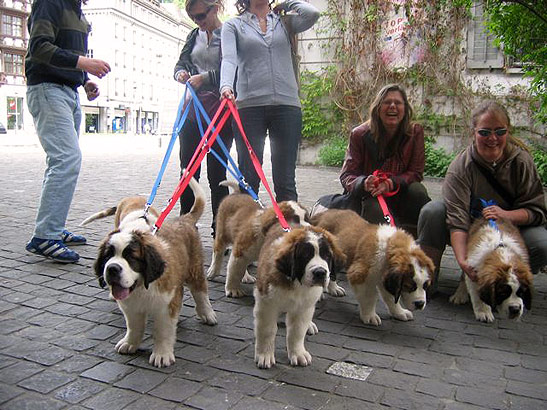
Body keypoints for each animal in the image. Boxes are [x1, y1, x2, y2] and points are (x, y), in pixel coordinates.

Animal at [94, 179, 216, 368]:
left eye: (131, 257)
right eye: (108, 256)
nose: (112, 268)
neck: (142, 286)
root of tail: (184, 219)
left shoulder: (166, 305)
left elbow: (163, 331)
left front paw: (161, 354)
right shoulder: (130, 307)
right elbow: (134, 326)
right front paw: (130, 343)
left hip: (194, 269)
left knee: (200, 292)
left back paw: (207, 313)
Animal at [254, 224, 346, 368]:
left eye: (327, 256)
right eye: (305, 255)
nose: (320, 272)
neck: (296, 283)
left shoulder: (303, 307)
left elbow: (297, 331)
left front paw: (298, 354)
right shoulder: (266, 304)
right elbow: (267, 330)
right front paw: (265, 355)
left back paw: (310, 325)